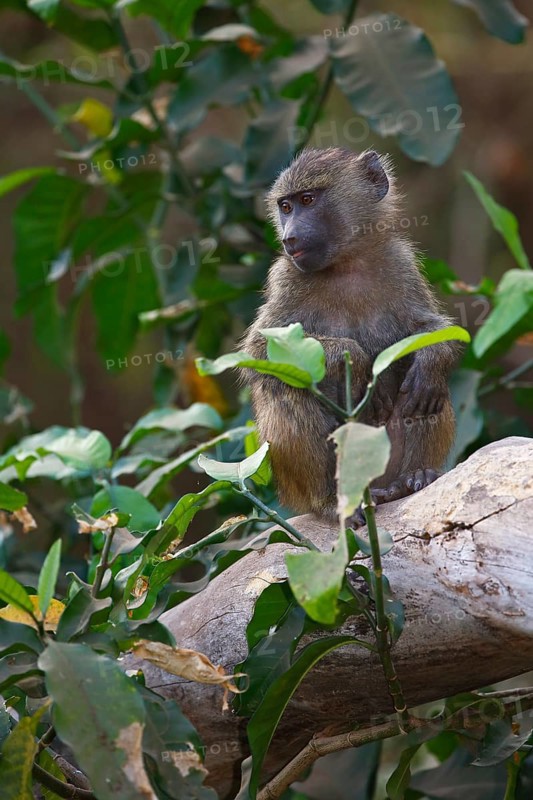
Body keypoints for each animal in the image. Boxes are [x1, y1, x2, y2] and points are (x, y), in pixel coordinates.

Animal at [240, 147, 459, 523]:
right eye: (285, 206)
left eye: (308, 199)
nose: (289, 238)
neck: (347, 263)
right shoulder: (285, 277)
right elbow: (258, 350)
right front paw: (352, 361)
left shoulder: (401, 263)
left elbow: (427, 331)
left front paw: (432, 359)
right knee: (288, 392)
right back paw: (330, 501)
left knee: (427, 388)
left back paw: (415, 476)